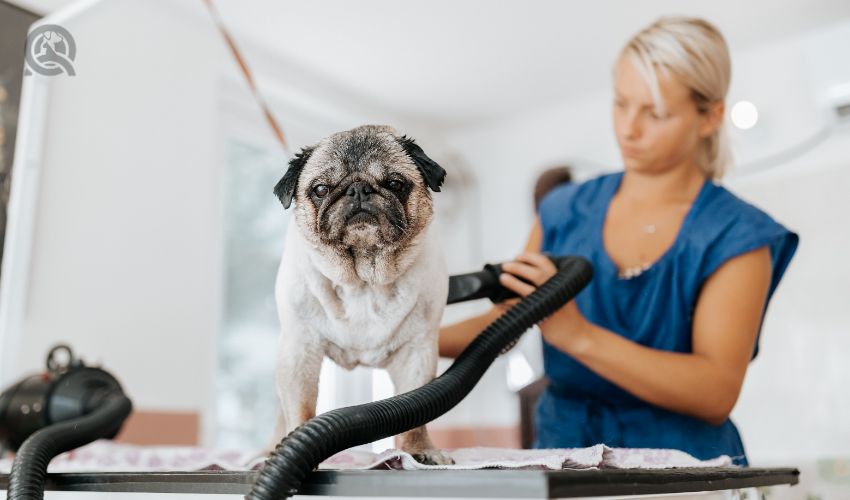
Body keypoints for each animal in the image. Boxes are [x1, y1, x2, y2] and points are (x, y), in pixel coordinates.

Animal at [274, 125, 454, 464]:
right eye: (321, 190)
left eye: (395, 184)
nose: (358, 190)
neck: (363, 280)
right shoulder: (300, 350)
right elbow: (300, 409)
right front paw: (296, 445)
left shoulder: (418, 351)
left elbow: (416, 414)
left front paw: (418, 449)